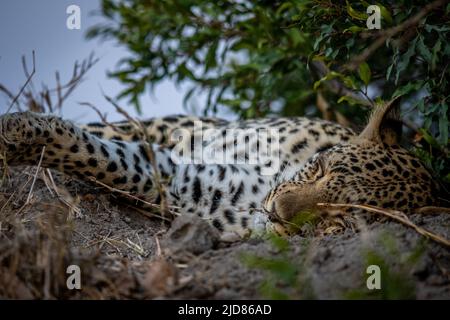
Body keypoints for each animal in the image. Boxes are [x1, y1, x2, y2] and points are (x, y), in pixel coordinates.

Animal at [0, 101, 438, 239]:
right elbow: (97, 141)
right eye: (321, 168)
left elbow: (102, 156)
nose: (275, 212)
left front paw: (19, 136)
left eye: (339, 220)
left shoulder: (191, 186)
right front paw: (16, 129)